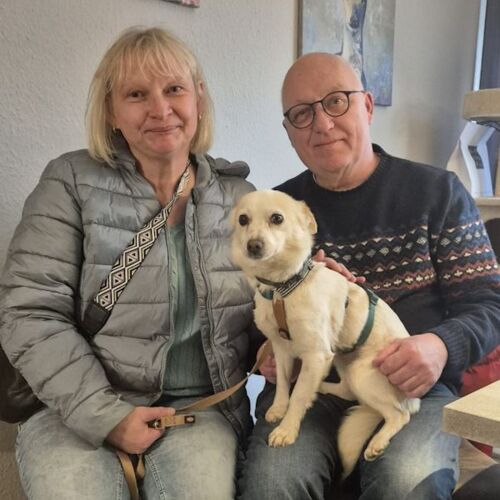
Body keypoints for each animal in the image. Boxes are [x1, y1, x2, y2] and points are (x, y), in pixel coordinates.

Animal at [231, 190, 420, 478]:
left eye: (277, 218)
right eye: (243, 220)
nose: (253, 245)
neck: (282, 290)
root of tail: (413, 399)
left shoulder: (317, 354)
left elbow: (298, 397)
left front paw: (287, 429)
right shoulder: (282, 349)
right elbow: (284, 383)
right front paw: (279, 408)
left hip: (360, 372)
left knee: (398, 415)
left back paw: (377, 441)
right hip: (342, 362)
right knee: (346, 391)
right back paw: (319, 385)